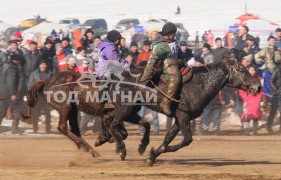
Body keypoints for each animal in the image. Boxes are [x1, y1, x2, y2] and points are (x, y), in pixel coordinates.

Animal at [22, 57, 260, 165]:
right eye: (241, 69)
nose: (257, 87)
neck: (198, 85)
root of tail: (48, 80)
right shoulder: (183, 116)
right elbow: (187, 140)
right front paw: (135, 149)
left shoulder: (178, 119)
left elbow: (166, 138)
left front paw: (151, 154)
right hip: (66, 108)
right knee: (65, 127)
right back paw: (105, 149)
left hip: (75, 110)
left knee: (76, 129)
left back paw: (93, 148)